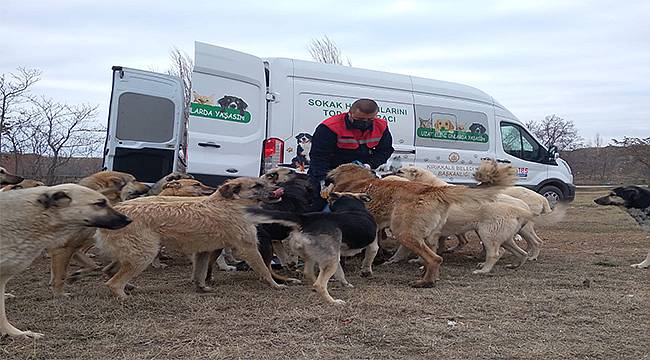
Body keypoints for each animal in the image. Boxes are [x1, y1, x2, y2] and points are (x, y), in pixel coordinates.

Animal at [97, 177, 286, 298]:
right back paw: (124, 296)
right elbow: (264, 269)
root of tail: (117, 212)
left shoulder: (203, 251)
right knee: (113, 283)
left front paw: (202, 288)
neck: (230, 203)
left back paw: (128, 286)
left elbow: (200, 273)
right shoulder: (248, 248)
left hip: (133, 254)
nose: (280, 189)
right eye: (257, 185)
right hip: (144, 255)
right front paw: (276, 285)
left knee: (109, 270)